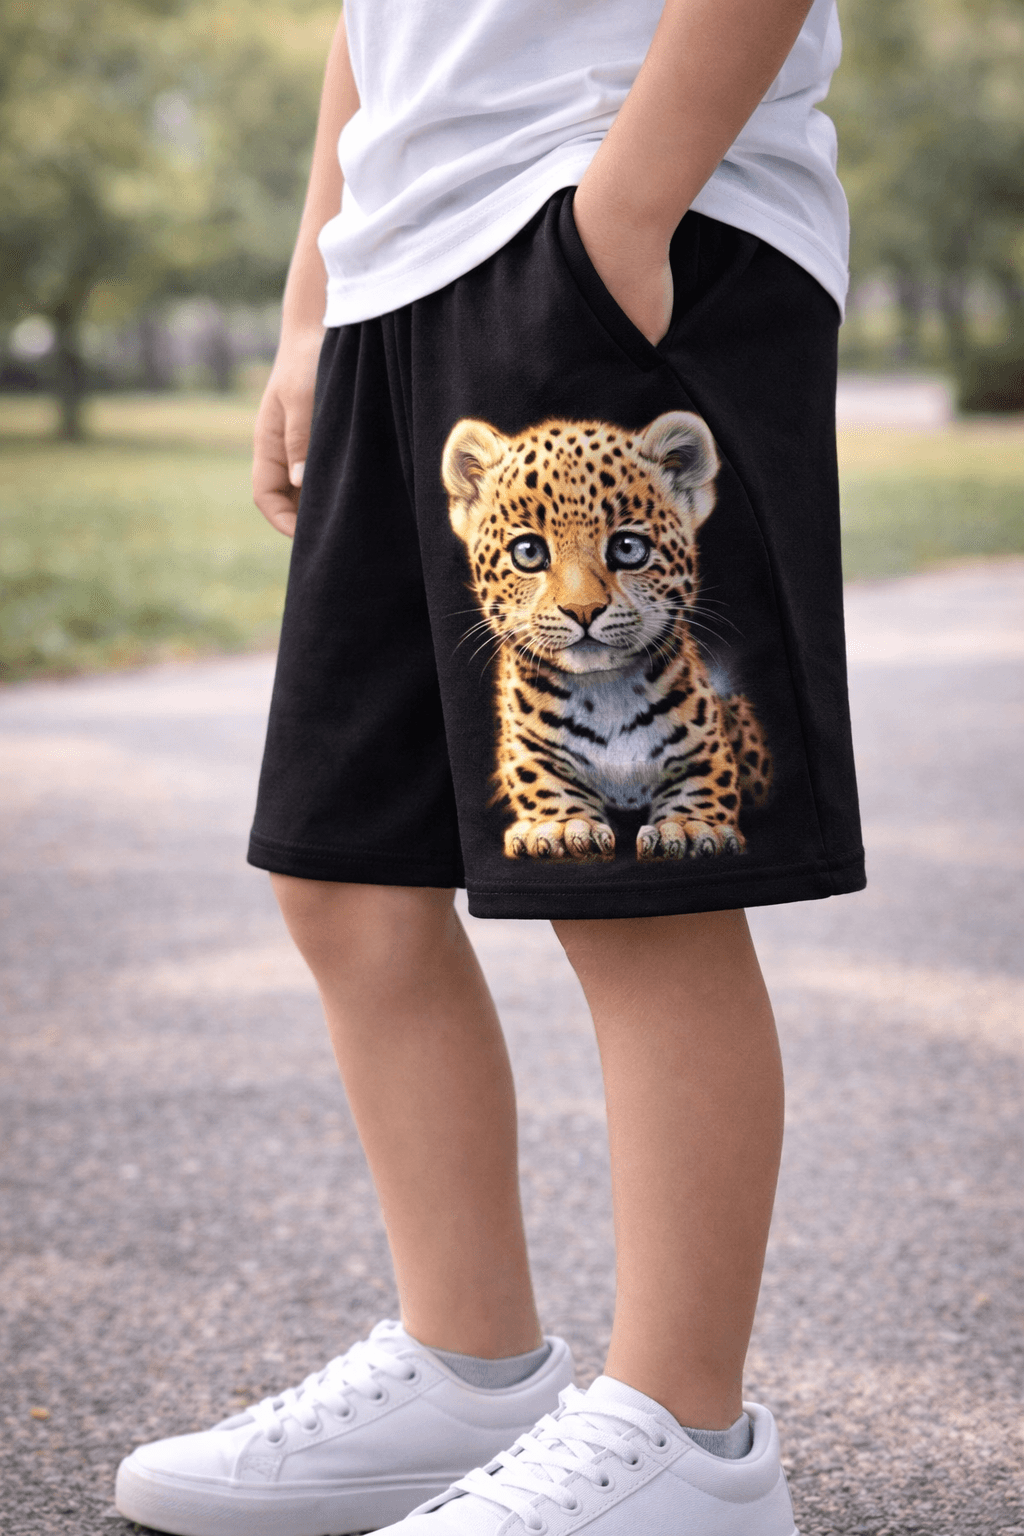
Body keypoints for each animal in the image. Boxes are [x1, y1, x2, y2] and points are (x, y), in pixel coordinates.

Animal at [441, 410, 772, 861]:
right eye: (528, 552)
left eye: (628, 548)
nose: (582, 610)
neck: (605, 692)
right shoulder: (525, 751)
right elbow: (542, 782)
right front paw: (564, 828)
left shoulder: (708, 746)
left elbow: (708, 781)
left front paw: (690, 827)